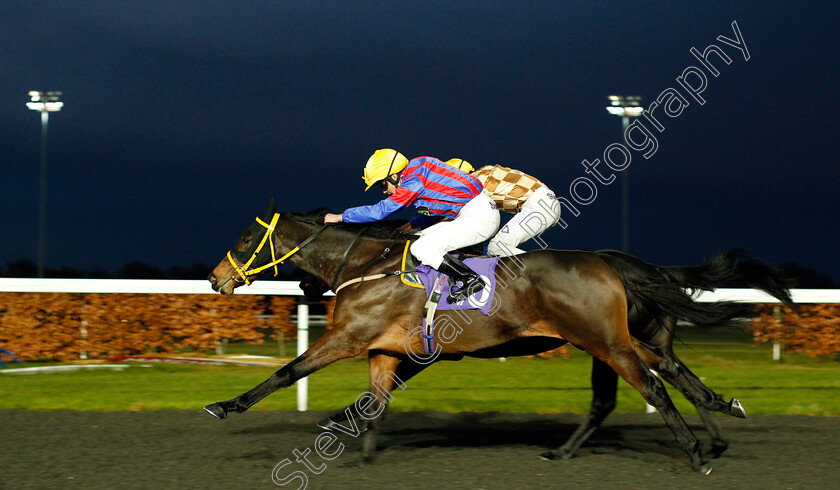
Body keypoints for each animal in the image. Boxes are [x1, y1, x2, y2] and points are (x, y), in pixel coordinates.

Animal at [203, 197, 796, 472]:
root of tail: (609, 263)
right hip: (608, 340)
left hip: (605, 341)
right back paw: (715, 412)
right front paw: (364, 452)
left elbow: (287, 372)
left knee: (651, 386)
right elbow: (374, 404)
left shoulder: (349, 337)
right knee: (651, 376)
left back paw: (696, 451)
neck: (365, 266)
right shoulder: (384, 349)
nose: (215, 277)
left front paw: (226, 406)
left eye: (245, 237)